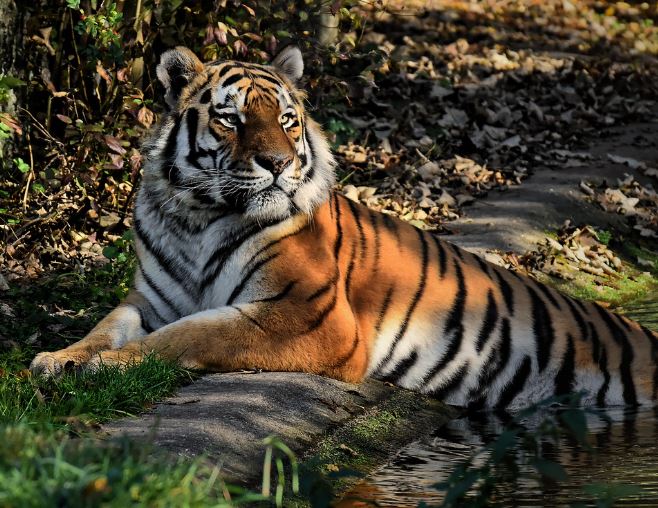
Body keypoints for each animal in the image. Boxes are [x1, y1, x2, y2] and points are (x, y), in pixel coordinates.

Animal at [30, 45, 658, 410]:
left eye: (287, 119)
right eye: (232, 118)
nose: (277, 163)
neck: (196, 215)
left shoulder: (310, 315)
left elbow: (192, 335)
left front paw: (102, 367)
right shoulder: (152, 300)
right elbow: (109, 326)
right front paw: (61, 358)